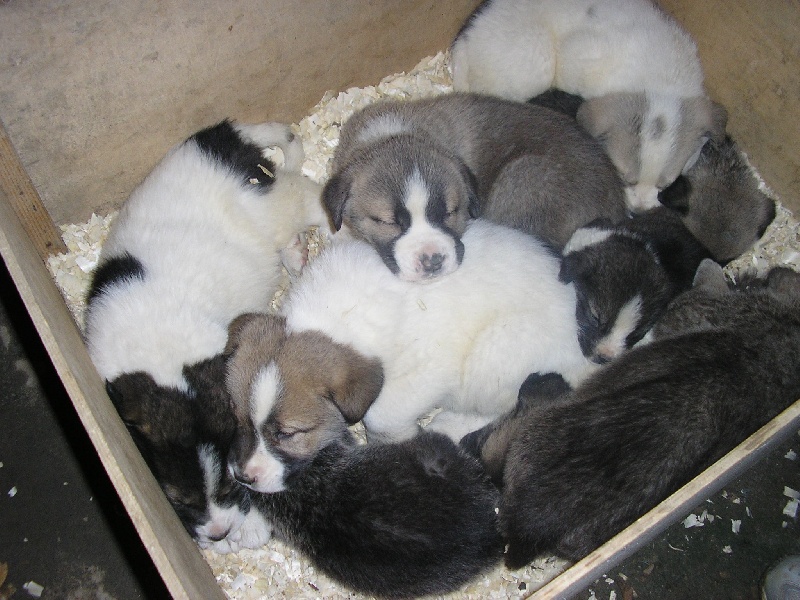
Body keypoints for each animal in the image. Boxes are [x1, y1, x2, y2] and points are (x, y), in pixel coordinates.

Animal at [451, 0, 728, 212]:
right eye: (623, 178)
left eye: (665, 185)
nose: (639, 211)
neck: (659, 83)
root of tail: (464, 42)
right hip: (535, 62)